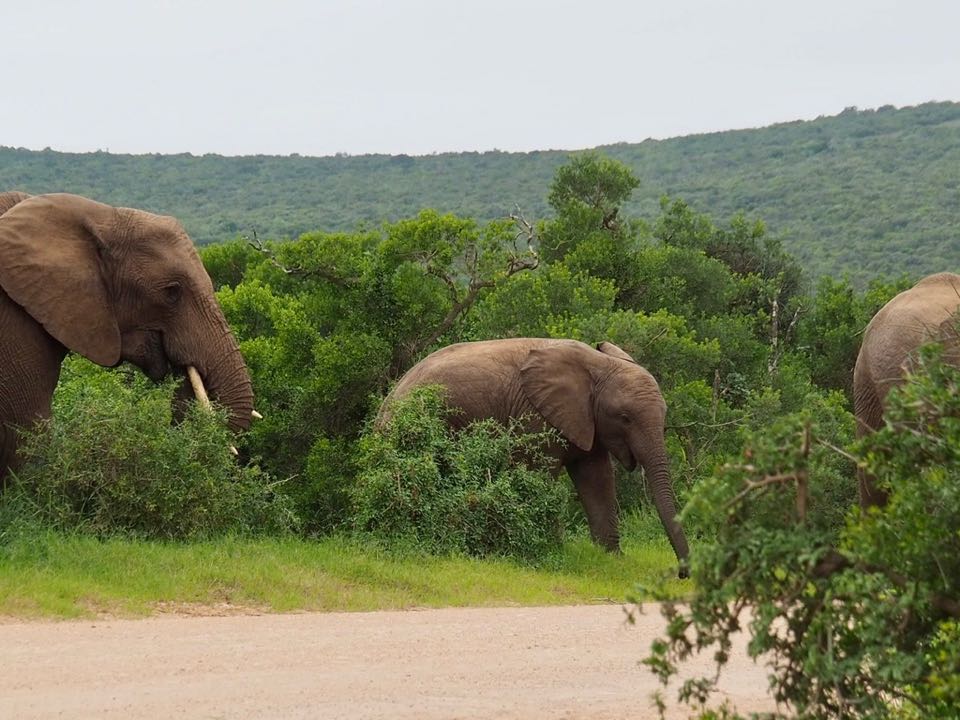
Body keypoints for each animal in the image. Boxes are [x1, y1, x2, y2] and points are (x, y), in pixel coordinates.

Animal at [380, 338, 690, 576]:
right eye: (625, 418)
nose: (682, 574)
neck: (597, 365)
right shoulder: (535, 416)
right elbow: (540, 474)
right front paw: (554, 550)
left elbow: (598, 479)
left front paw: (612, 558)